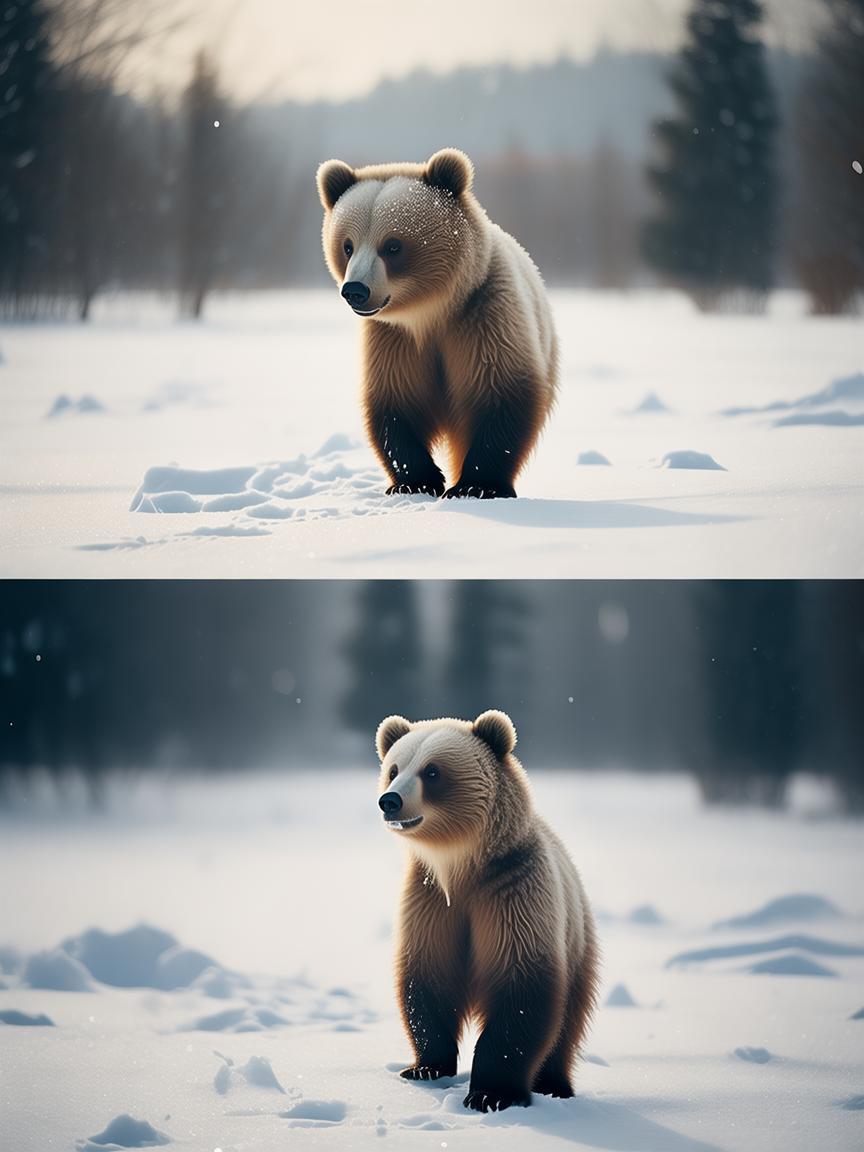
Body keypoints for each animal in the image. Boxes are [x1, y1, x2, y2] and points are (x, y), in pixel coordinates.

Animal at [316, 149, 558, 499]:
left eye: (393, 245)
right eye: (347, 245)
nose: (355, 290)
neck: (430, 314)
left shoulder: (484, 318)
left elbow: (500, 394)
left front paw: (477, 485)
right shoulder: (394, 340)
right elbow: (396, 403)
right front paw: (413, 480)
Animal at [375, 709, 599, 1113]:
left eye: (432, 771)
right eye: (393, 768)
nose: (390, 801)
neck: (461, 868)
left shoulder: (512, 893)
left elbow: (521, 991)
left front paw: (490, 1093)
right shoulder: (430, 902)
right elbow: (425, 980)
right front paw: (425, 1067)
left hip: (578, 943)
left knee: (567, 1024)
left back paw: (554, 1084)